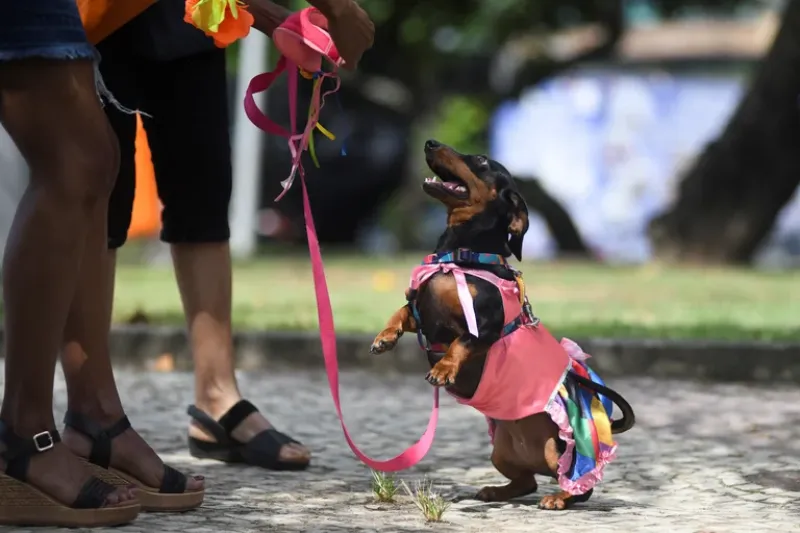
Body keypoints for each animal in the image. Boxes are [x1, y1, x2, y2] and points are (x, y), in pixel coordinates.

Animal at [370, 140, 636, 512]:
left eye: (481, 160)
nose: (430, 143)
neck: (460, 257)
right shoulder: (421, 310)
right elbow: (401, 312)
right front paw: (385, 337)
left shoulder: (485, 326)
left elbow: (461, 342)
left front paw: (443, 368)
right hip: (501, 452)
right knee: (526, 482)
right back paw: (495, 491)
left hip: (561, 449)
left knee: (581, 487)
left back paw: (559, 497)